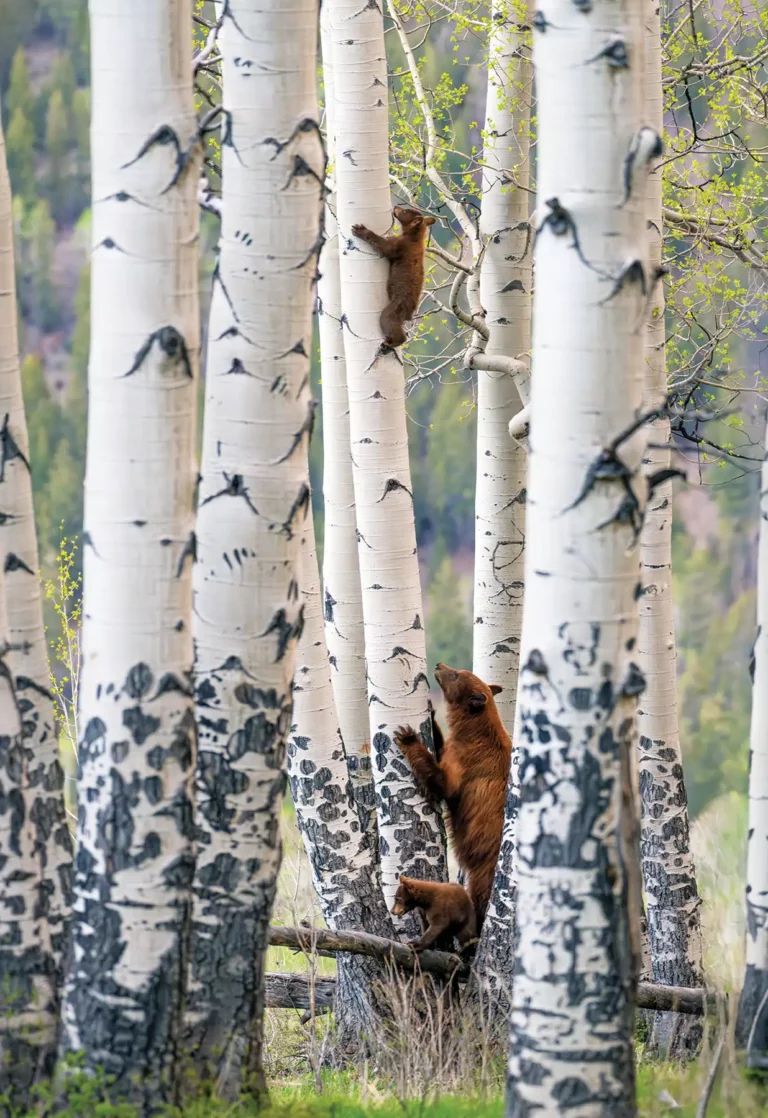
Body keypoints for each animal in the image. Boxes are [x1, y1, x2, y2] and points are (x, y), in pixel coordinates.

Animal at [351, 206, 436, 348]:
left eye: (406, 211)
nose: (396, 207)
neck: (414, 236)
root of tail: (409, 313)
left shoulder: (401, 245)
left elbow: (386, 247)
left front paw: (361, 230)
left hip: (397, 305)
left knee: (387, 319)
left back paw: (391, 342)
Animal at [394, 663, 511, 929]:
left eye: (457, 675)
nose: (439, 666)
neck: (472, 730)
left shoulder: (468, 762)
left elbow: (442, 782)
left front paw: (407, 736)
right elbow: (439, 748)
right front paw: (430, 713)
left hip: (484, 862)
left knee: (480, 892)